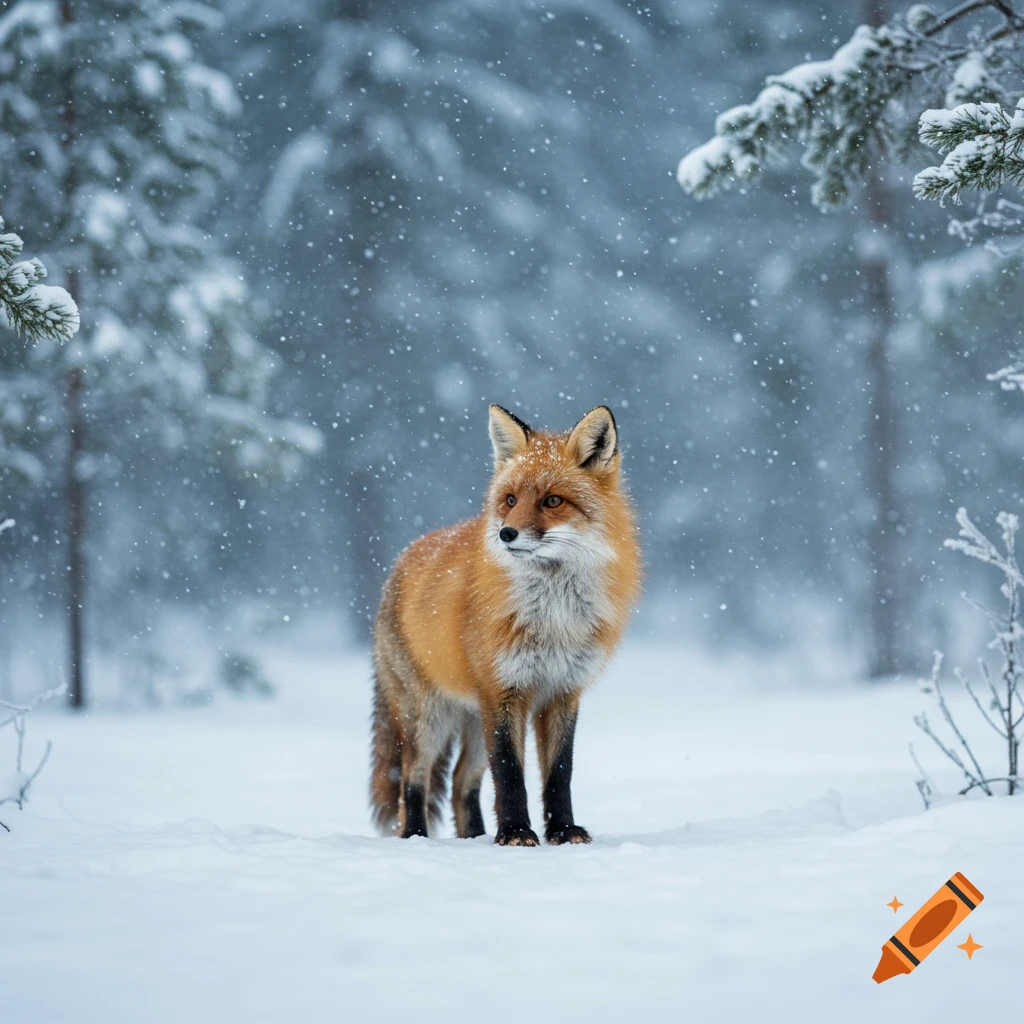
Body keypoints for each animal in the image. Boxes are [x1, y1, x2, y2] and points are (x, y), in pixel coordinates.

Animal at [369, 404, 642, 846]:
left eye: (552, 501)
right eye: (510, 500)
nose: (505, 533)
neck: (553, 617)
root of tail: (401, 560)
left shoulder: (562, 691)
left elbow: (559, 773)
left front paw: (563, 830)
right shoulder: (503, 691)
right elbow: (510, 772)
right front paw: (515, 832)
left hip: (471, 721)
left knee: (461, 782)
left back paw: (474, 838)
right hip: (429, 718)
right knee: (413, 778)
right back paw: (416, 837)